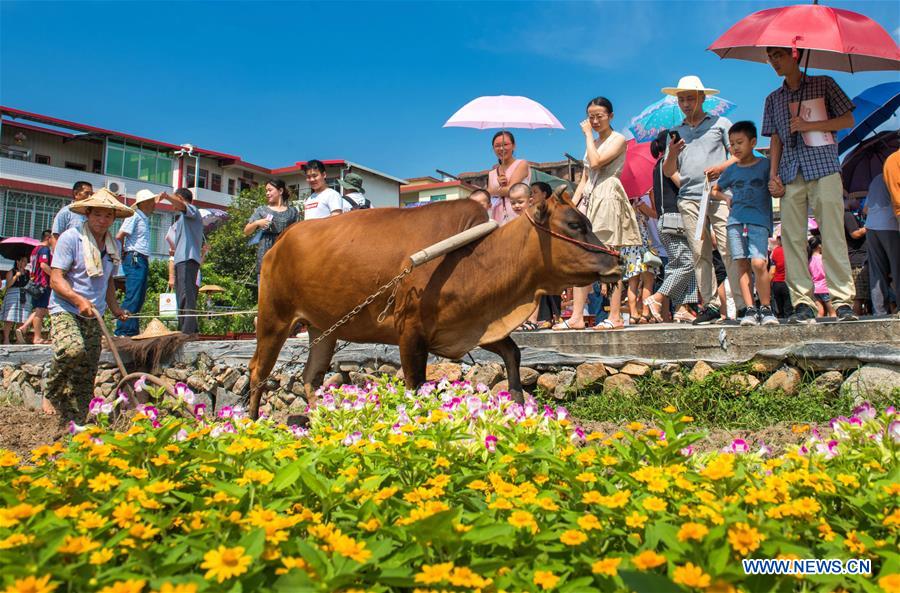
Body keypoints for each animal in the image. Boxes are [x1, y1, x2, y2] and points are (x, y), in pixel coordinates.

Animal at [250, 192, 624, 418]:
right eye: (575, 225)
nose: (618, 261)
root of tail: (280, 241)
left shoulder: (472, 325)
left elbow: (513, 354)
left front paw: (517, 405)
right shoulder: (411, 333)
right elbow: (416, 385)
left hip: (323, 329)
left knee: (311, 376)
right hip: (274, 319)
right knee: (258, 372)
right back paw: (252, 423)